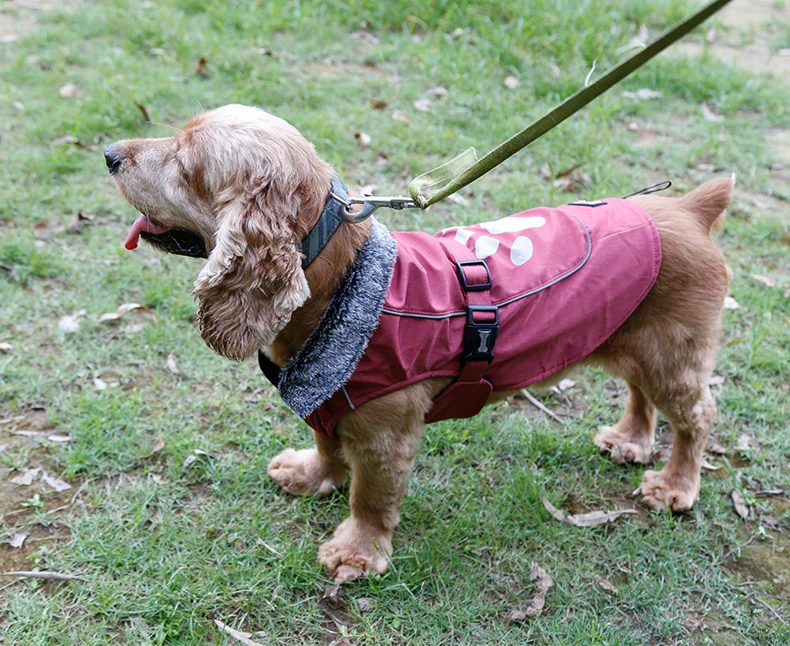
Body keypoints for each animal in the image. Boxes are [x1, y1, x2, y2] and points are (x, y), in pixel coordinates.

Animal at [106, 105, 736, 584]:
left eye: (186, 164)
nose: (110, 153)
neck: (341, 282)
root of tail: (687, 209)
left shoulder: (386, 436)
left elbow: (370, 497)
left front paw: (356, 553)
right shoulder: (330, 401)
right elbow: (327, 445)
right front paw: (311, 476)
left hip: (672, 355)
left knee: (697, 417)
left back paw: (675, 486)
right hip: (634, 339)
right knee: (639, 392)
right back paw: (630, 440)